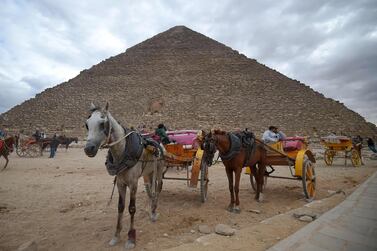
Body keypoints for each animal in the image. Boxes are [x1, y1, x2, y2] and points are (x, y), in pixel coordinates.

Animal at [83, 102, 166, 249]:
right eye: (86, 124)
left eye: (102, 123)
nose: (89, 149)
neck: (122, 152)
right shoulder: (120, 183)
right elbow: (120, 207)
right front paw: (116, 235)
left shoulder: (133, 183)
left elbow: (131, 208)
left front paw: (131, 238)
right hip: (149, 172)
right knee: (151, 189)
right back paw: (151, 209)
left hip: (159, 170)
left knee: (158, 188)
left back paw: (154, 211)